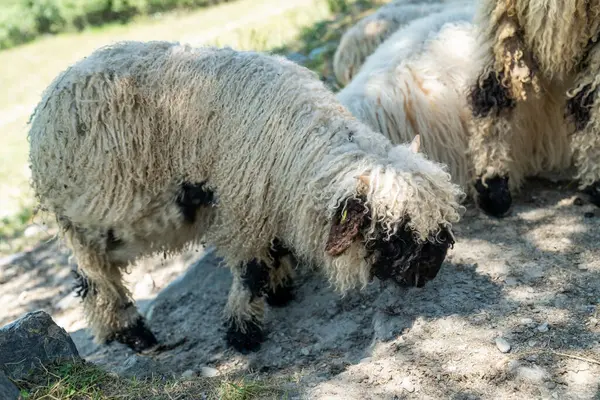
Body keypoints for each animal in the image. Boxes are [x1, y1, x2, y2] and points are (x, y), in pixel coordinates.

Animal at [25, 39, 462, 354]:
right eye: (394, 234)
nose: (432, 269)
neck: (298, 148)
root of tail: (46, 103)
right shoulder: (243, 208)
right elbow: (250, 271)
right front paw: (243, 334)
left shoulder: (268, 201)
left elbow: (275, 251)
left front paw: (281, 292)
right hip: (90, 214)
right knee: (92, 273)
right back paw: (132, 334)